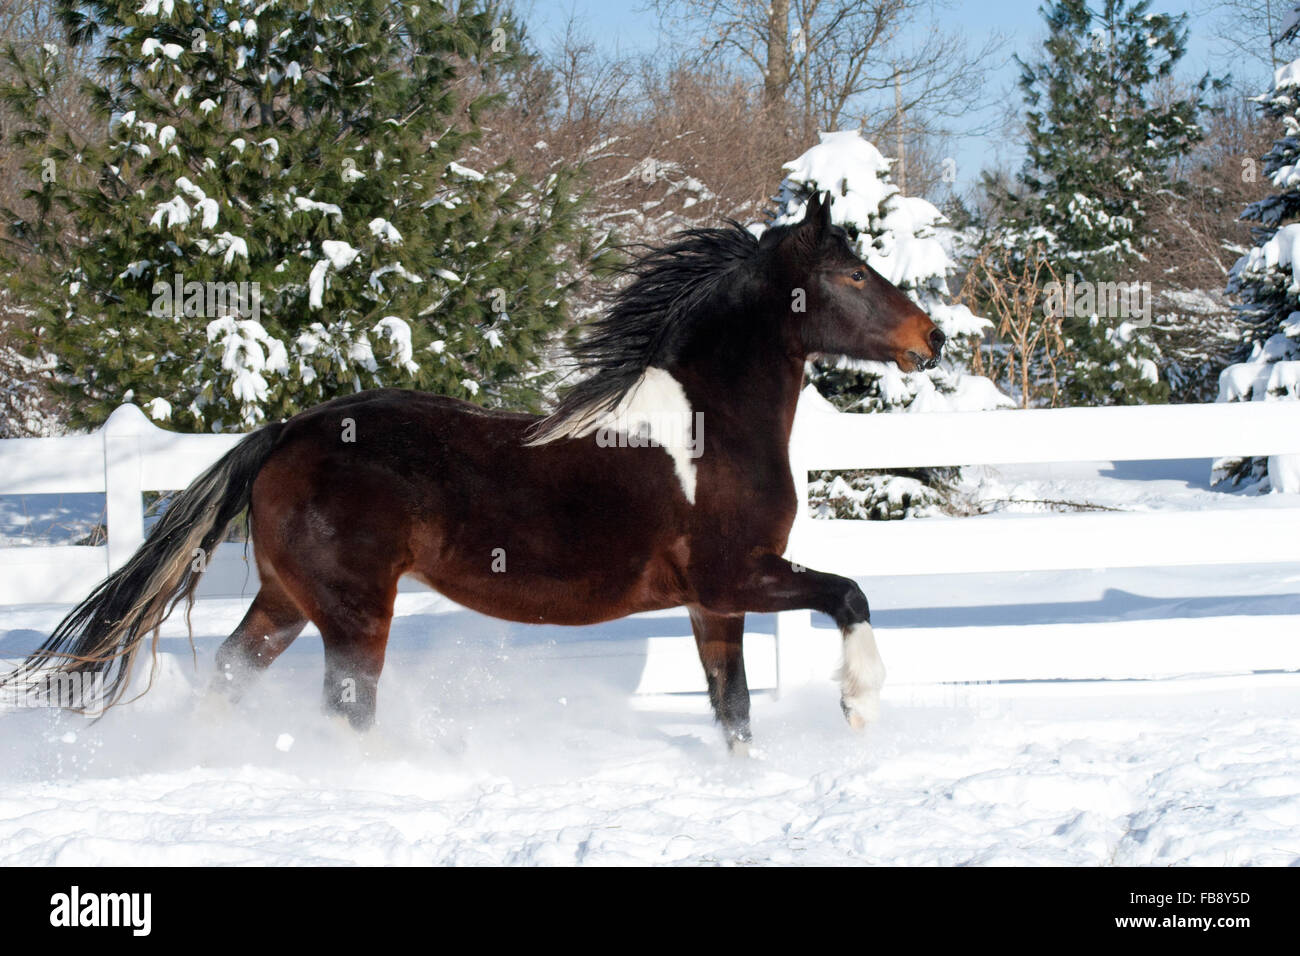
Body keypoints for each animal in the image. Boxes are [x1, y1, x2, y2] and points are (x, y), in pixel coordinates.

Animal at [5, 191, 951, 749]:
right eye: (849, 272)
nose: (931, 338)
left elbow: (736, 712)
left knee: (232, 681)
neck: (707, 433)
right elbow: (849, 595)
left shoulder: (712, 601)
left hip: (287, 600)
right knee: (345, 711)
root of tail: (286, 433)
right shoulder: (739, 574)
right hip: (354, 613)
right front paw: (860, 706)